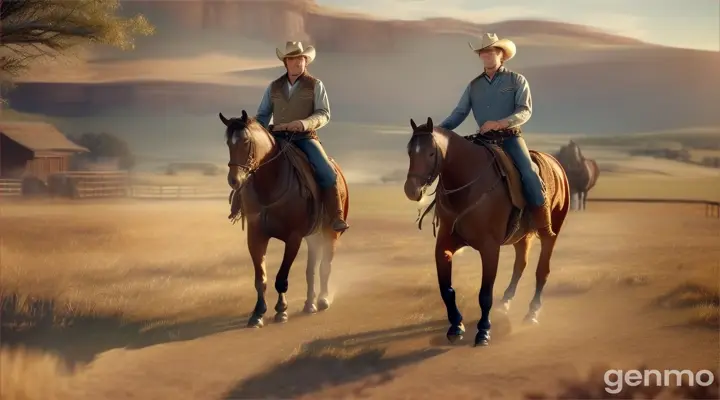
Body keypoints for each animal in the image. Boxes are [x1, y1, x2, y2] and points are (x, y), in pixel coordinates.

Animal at [222, 110, 352, 328]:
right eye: (228, 143)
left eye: (246, 141)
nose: (234, 180)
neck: (270, 185)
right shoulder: (256, 236)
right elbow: (261, 278)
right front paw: (258, 313)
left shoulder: (294, 238)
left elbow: (281, 277)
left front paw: (281, 311)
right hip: (313, 236)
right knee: (311, 269)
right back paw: (309, 304)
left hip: (330, 232)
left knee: (325, 266)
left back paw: (322, 300)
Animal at [404, 118, 568, 346]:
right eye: (410, 151)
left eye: (430, 153)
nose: (411, 190)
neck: (466, 186)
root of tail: (556, 165)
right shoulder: (444, 245)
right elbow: (446, 289)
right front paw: (456, 326)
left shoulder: (490, 249)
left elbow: (485, 293)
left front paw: (483, 331)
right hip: (522, 236)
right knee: (520, 265)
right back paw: (505, 303)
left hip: (550, 232)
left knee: (541, 270)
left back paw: (532, 313)